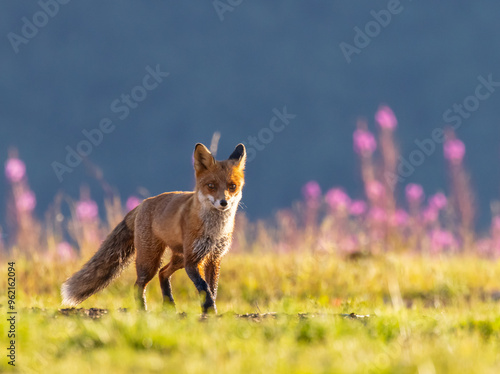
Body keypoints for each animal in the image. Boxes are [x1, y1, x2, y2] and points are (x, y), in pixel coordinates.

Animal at [61, 143, 245, 312]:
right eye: (211, 186)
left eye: (232, 186)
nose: (224, 202)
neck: (215, 230)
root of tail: (143, 203)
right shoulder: (193, 260)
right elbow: (204, 287)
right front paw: (209, 310)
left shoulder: (214, 258)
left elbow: (212, 289)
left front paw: (211, 311)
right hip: (151, 261)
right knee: (139, 284)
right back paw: (143, 311)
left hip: (178, 258)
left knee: (163, 273)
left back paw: (169, 305)